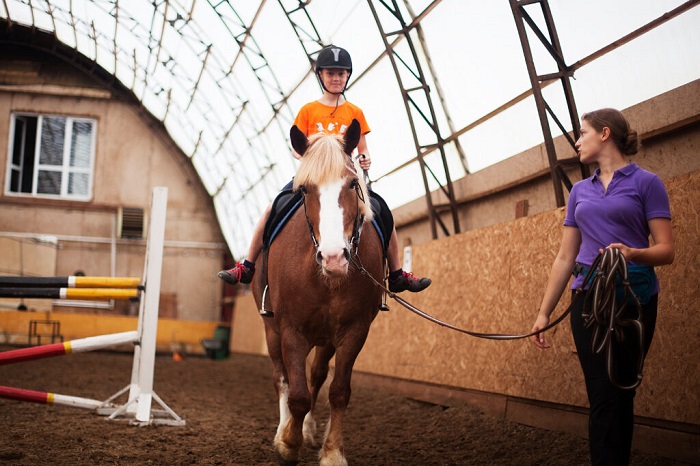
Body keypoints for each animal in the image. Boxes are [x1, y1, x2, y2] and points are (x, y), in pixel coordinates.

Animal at [252, 119, 382, 462]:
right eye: (305, 189)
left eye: (352, 184)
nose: (334, 258)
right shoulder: (291, 329)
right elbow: (297, 395)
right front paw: (287, 442)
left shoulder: (354, 330)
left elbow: (338, 392)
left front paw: (332, 452)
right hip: (272, 330)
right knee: (282, 378)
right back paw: (285, 429)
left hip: (326, 338)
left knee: (316, 376)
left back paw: (308, 430)